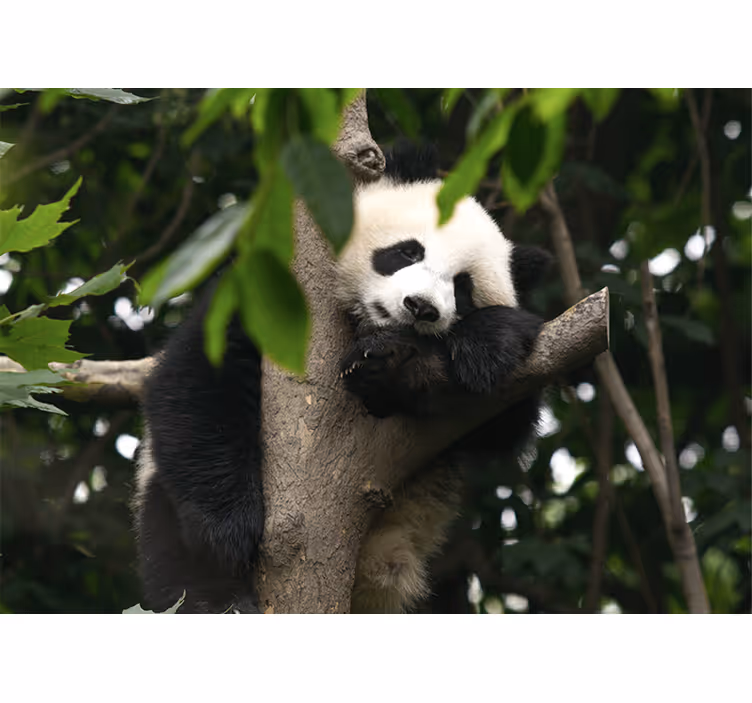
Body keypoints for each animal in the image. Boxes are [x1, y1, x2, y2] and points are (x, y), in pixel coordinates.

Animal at [133, 143, 552, 614]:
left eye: (462, 287)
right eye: (408, 252)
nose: (420, 306)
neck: (363, 325)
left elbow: (503, 419)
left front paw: (469, 347)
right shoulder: (262, 301)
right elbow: (200, 384)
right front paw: (231, 528)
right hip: (162, 507)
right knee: (181, 567)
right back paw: (226, 601)